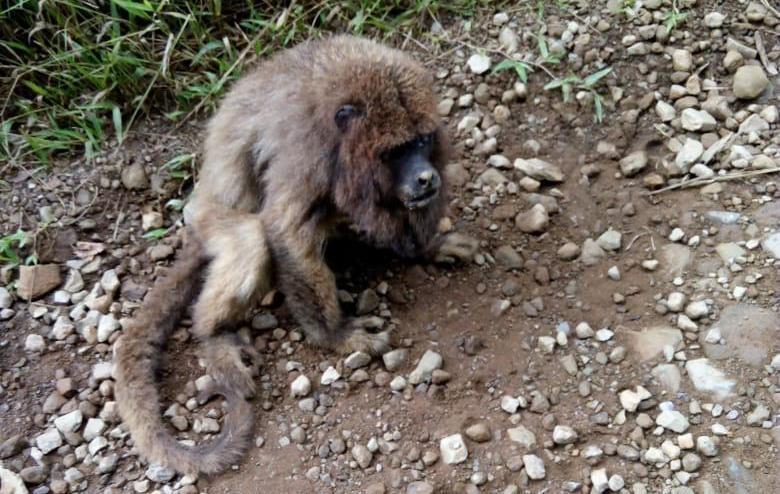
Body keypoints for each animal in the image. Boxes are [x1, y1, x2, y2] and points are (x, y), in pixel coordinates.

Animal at [113, 34, 450, 476]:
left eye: (422, 142)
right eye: (396, 151)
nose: (425, 177)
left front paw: (429, 248)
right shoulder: (310, 152)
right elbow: (285, 230)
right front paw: (335, 335)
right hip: (209, 222)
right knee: (252, 239)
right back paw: (214, 334)